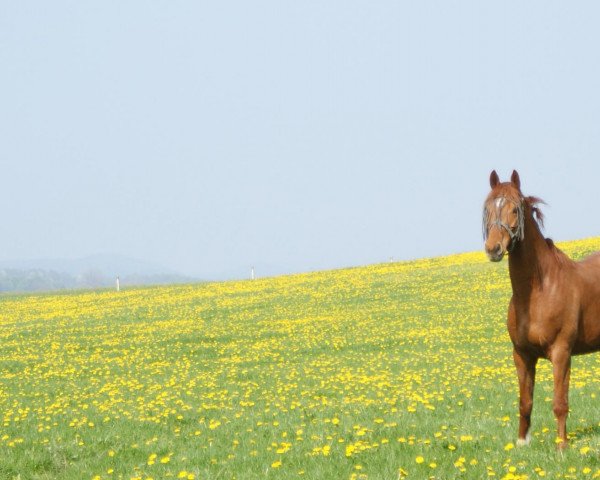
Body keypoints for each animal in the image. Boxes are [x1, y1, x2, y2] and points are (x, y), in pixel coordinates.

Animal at [480, 171, 600, 448]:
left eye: (514, 209)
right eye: (488, 209)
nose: (493, 249)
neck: (539, 291)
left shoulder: (561, 353)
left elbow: (560, 403)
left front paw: (562, 446)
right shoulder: (522, 355)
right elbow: (525, 402)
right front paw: (522, 442)